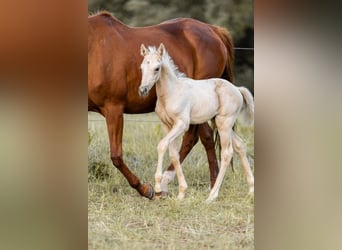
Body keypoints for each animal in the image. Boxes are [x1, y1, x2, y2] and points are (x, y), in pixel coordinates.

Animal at [87, 11, 234, 199]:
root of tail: (214, 30)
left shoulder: (114, 109)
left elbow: (116, 156)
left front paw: (145, 189)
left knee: (203, 138)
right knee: (198, 138)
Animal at [139, 43, 254, 202]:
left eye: (157, 68)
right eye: (142, 68)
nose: (142, 90)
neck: (171, 93)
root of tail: (237, 89)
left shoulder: (181, 124)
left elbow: (162, 145)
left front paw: (157, 188)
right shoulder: (167, 126)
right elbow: (174, 154)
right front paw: (181, 193)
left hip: (224, 124)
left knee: (227, 153)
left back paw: (212, 196)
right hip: (224, 124)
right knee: (240, 145)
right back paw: (251, 189)